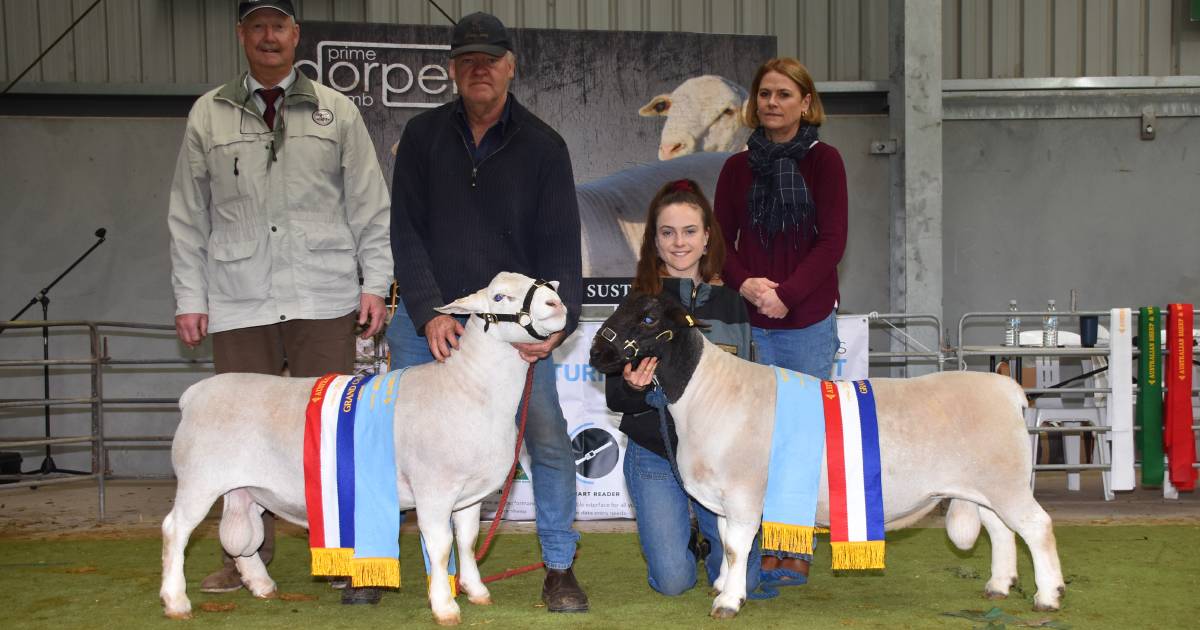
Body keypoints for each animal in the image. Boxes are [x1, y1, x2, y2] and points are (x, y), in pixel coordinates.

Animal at [159, 271, 566, 624]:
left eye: (543, 283)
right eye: (499, 297)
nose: (556, 303)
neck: (468, 385)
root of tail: (194, 394)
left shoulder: (468, 495)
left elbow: (466, 542)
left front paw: (476, 591)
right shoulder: (434, 489)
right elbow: (440, 547)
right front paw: (445, 606)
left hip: (246, 487)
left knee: (243, 537)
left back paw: (261, 585)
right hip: (198, 480)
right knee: (175, 530)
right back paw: (176, 600)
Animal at [585, 292, 1065, 614]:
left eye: (648, 317)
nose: (596, 352)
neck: (706, 392)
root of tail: (1007, 389)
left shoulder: (743, 493)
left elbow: (738, 548)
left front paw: (729, 601)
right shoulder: (724, 498)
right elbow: (724, 541)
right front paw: (722, 586)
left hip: (1006, 481)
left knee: (1036, 527)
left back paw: (1048, 595)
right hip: (985, 485)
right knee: (1002, 531)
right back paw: (999, 585)